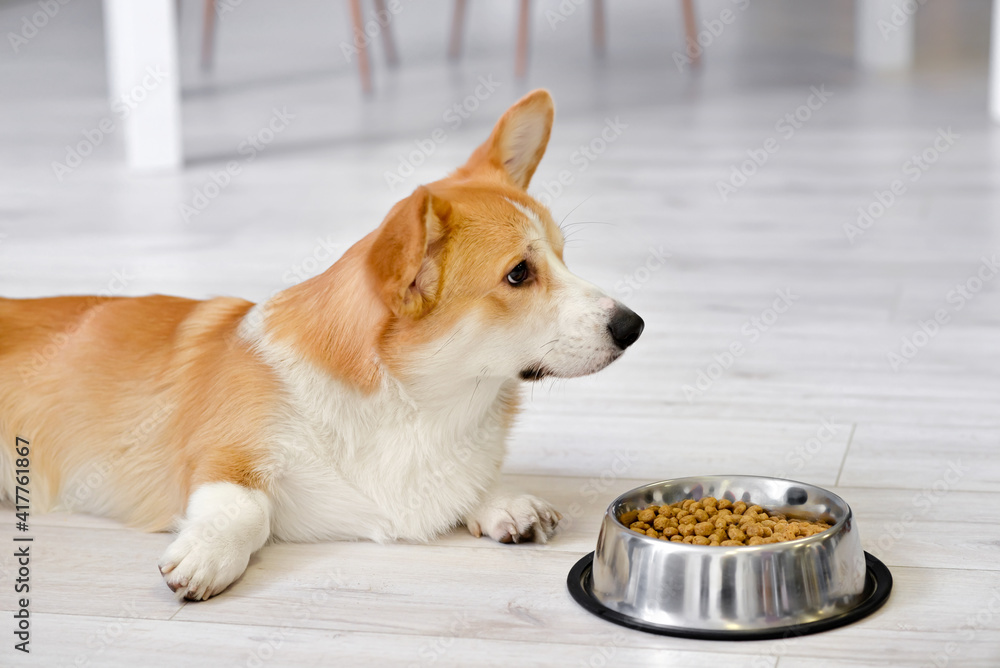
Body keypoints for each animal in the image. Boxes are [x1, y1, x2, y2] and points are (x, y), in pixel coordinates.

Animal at [0, 90, 640, 600]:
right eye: (518, 274)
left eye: (563, 257)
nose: (633, 326)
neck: (417, 404)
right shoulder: (220, 455)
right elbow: (246, 505)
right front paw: (208, 553)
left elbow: (466, 486)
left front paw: (502, 502)